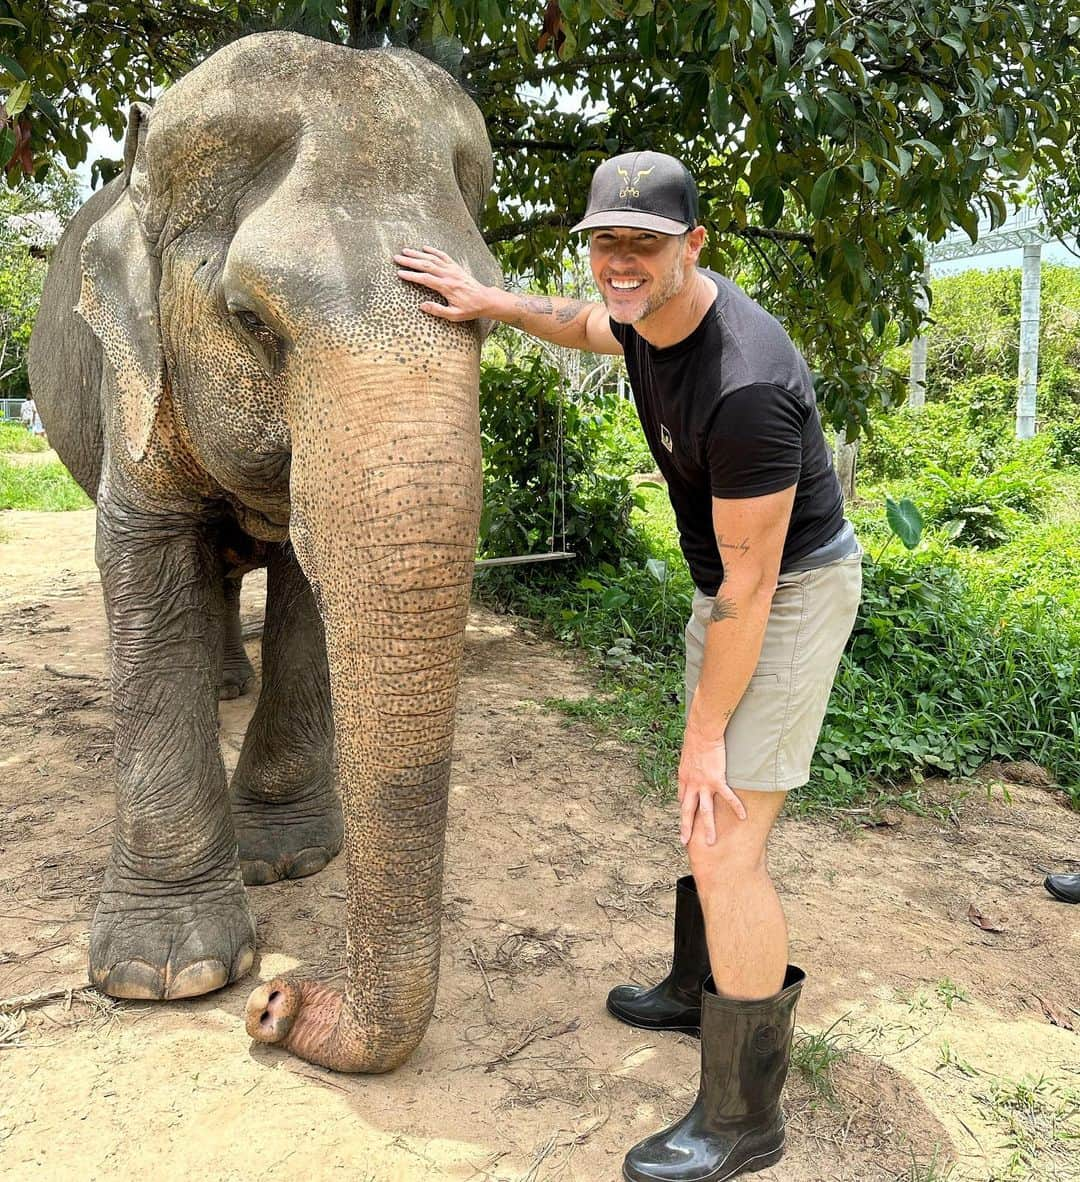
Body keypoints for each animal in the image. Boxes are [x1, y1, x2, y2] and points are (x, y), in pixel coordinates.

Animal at [28, 32, 501, 1077]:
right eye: (250, 319)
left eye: (489, 315)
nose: (281, 1005)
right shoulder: (131, 376)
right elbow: (141, 550)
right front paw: (167, 975)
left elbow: (307, 577)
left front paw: (282, 860)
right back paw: (216, 690)